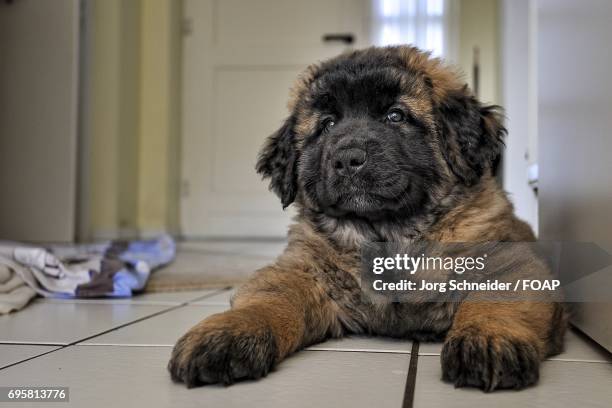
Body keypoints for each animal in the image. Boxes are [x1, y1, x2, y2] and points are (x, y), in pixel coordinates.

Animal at [169, 45, 568, 392]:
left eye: (395, 115)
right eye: (328, 124)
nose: (347, 159)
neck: (389, 234)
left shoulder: (510, 262)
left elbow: (497, 299)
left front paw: (487, 339)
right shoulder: (301, 270)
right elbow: (269, 299)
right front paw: (229, 333)